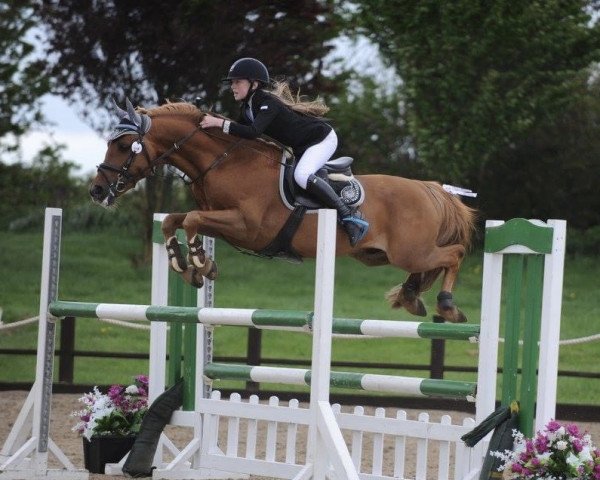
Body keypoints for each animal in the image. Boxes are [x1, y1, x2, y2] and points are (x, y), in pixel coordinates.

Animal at [90, 101, 474, 322]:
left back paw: (447, 306)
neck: (226, 162)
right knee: (430, 265)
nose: (96, 191)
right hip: (381, 255)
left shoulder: (246, 226)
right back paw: (411, 297)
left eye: (124, 145)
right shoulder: (222, 219)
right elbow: (174, 220)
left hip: (410, 251)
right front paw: (186, 266)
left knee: (453, 254)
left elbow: (194, 220)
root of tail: (432, 189)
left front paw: (201, 263)